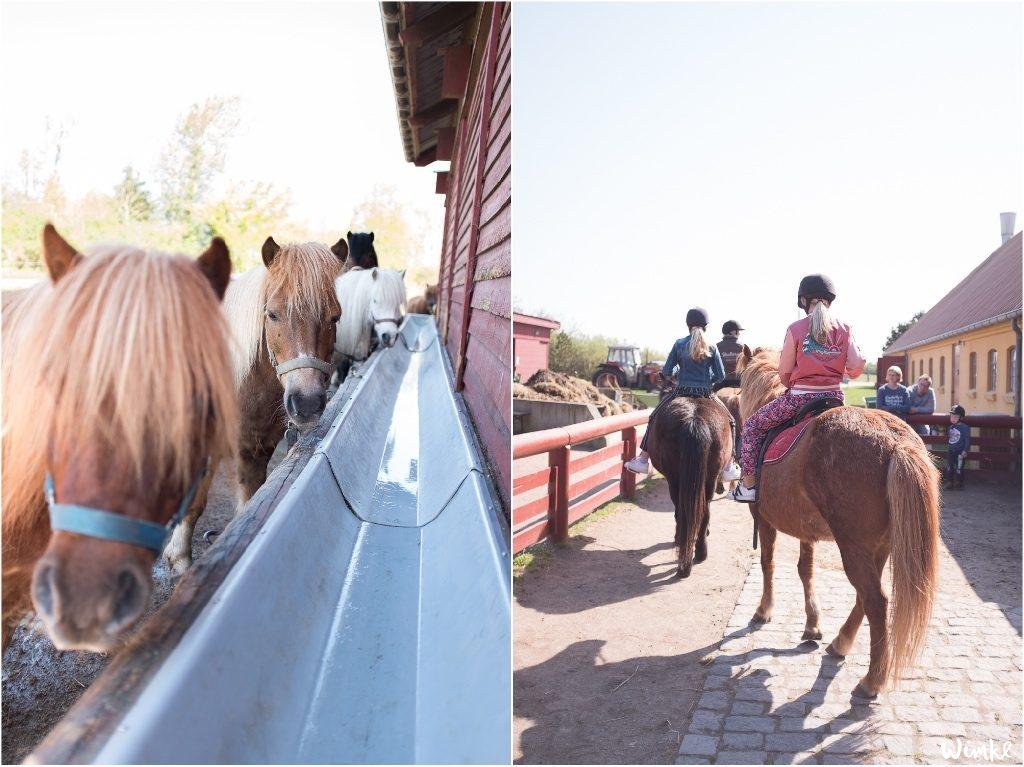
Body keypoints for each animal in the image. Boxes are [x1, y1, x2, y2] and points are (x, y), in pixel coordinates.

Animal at [162, 236, 344, 573]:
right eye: (272, 314)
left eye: (334, 317)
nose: (306, 402)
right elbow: (195, 502)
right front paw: (179, 558)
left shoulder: (256, 447)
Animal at [647, 395, 737, 573]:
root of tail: (693, 420)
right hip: (708, 478)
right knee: (704, 510)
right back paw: (699, 552)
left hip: (675, 480)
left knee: (683, 512)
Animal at [733, 350, 937, 696]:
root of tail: (896, 442)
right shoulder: (806, 531)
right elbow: (805, 570)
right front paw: (812, 625)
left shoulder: (763, 519)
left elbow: (767, 563)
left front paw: (764, 610)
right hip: (878, 545)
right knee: (866, 597)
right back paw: (841, 643)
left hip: (853, 545)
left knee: (876, 601)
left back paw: (872, 679)